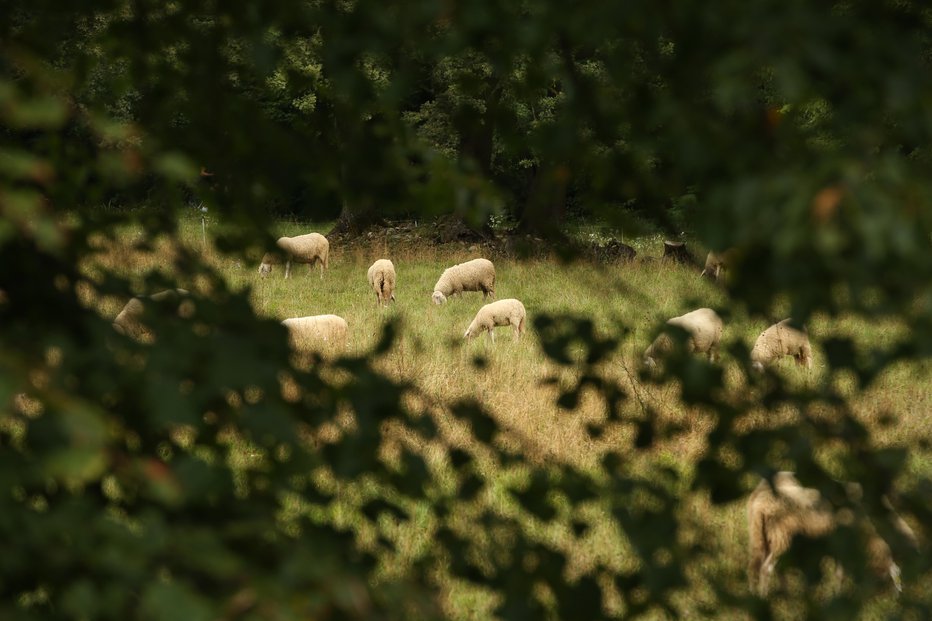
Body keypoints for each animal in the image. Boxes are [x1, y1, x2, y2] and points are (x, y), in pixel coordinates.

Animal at [748, 472, 912, 600]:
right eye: (896, 579)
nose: (895, 601)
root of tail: (760, 504)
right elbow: (840, 575)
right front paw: (837, 596)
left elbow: (837, 573)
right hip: (781, 537)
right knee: (766, 569)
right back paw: (765, 596)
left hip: (761, 537)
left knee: (764, 568)